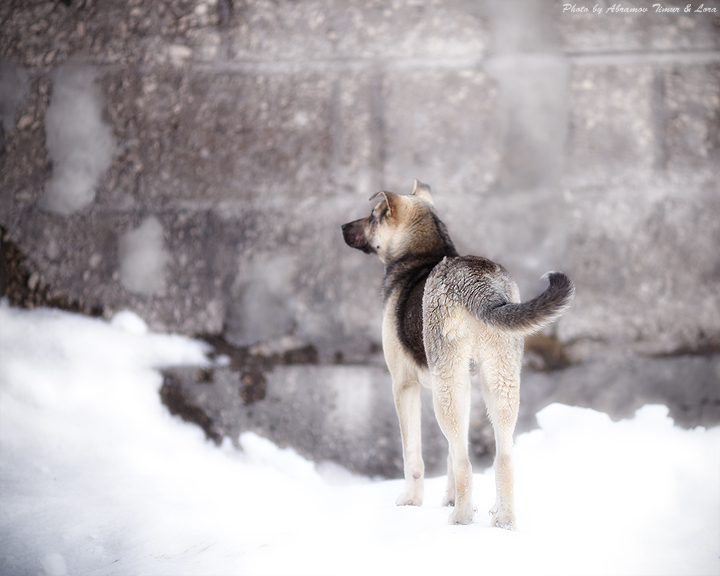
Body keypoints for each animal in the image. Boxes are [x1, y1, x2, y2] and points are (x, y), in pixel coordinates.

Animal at [342, 179, 572, 528]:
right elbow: (453, 450)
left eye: (372, 216)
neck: (423, 252)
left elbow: (414, 454)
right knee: (502, 457)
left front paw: (412, 501)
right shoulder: (463, 385)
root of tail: (477, 281)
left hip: (446, 388)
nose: (342, 227)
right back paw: (502, 519)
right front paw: (450, 498)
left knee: (465, 461)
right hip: (498, 382)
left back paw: (460, 517)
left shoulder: (404, 385)